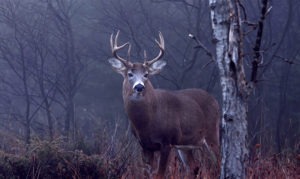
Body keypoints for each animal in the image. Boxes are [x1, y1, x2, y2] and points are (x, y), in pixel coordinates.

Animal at [108, 30, 220, 178]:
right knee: (194, 167)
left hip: (212, 132)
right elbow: (148, 174)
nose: (139, 87)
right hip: (185, 145)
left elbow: (159, 174)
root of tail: (214, 100)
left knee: (218, 162)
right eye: (129, 74)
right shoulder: (144, 145)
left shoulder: (167, 141)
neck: (147, 123)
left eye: (146, 74)